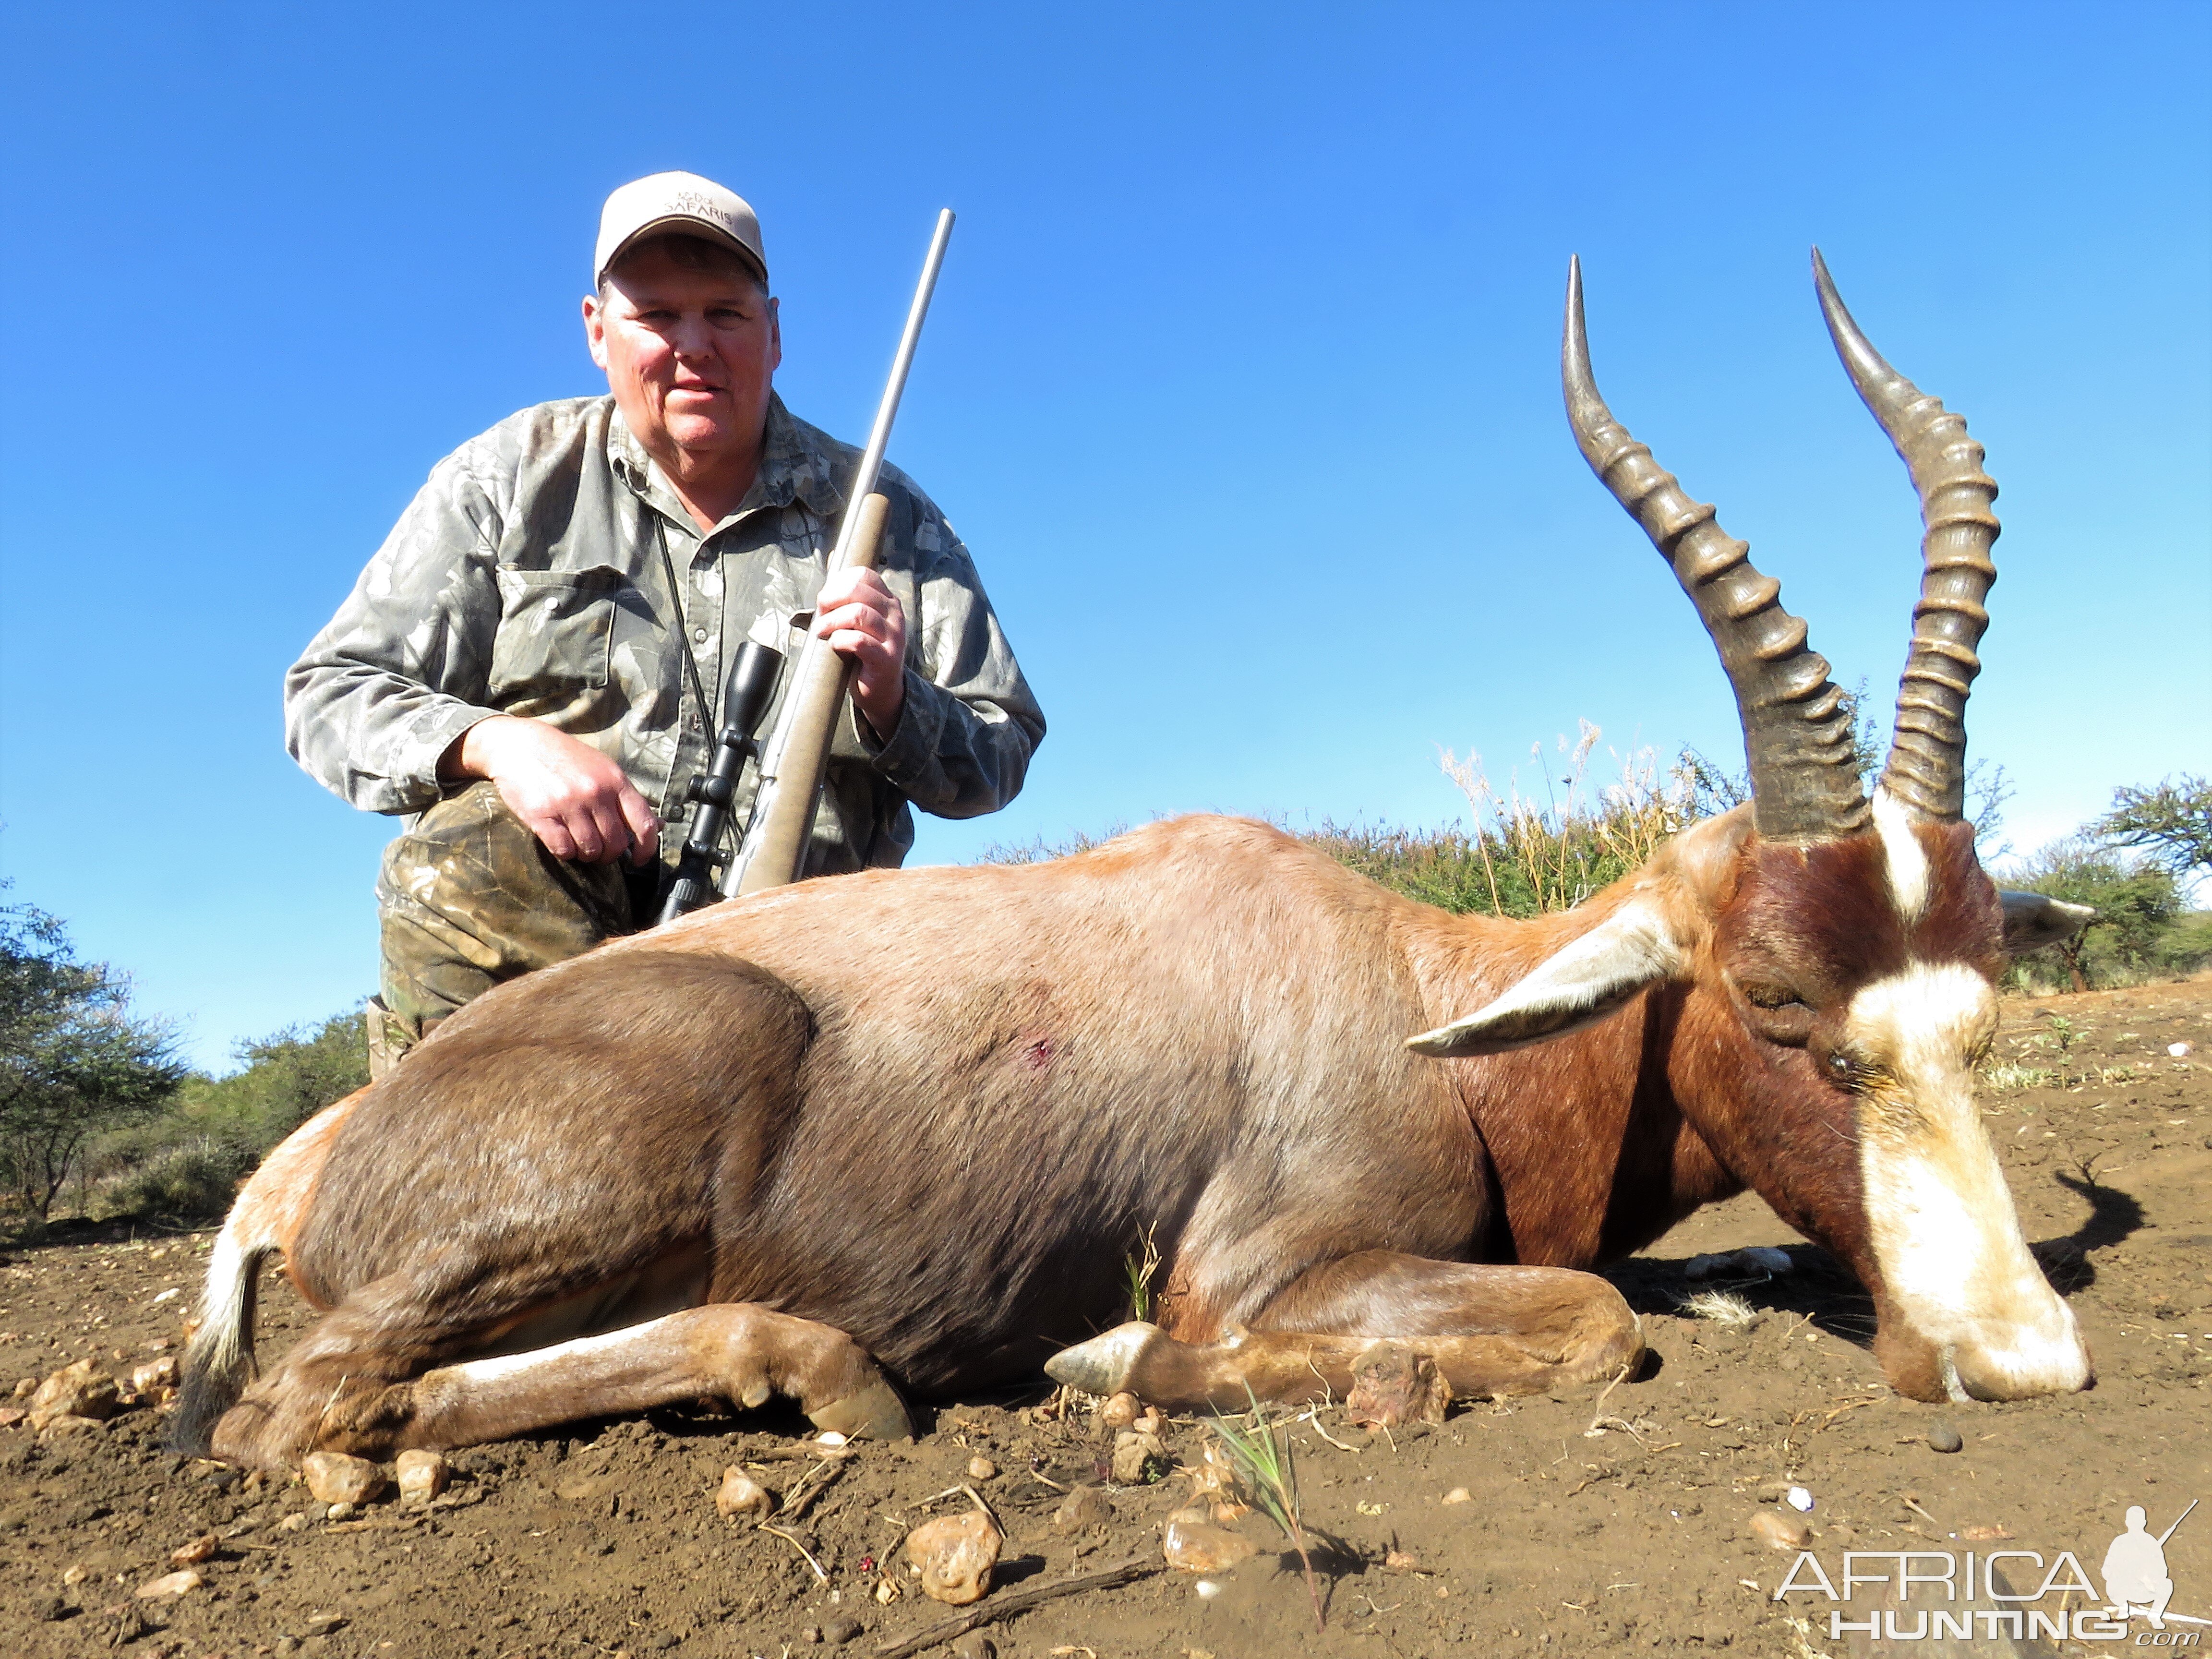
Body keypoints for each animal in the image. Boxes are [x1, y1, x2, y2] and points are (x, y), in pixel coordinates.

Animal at [177, 253, 2088, 1478]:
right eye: (1776, 1000)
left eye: (1983, 998)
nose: (2022, 1362)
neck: (1406, 991)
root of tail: (313, 1155)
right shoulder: (1264, 1269)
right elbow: (1589, 1316)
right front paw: (1115, 1359)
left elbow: (1679, 1278)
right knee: (309, 1409)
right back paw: (821, 1375)